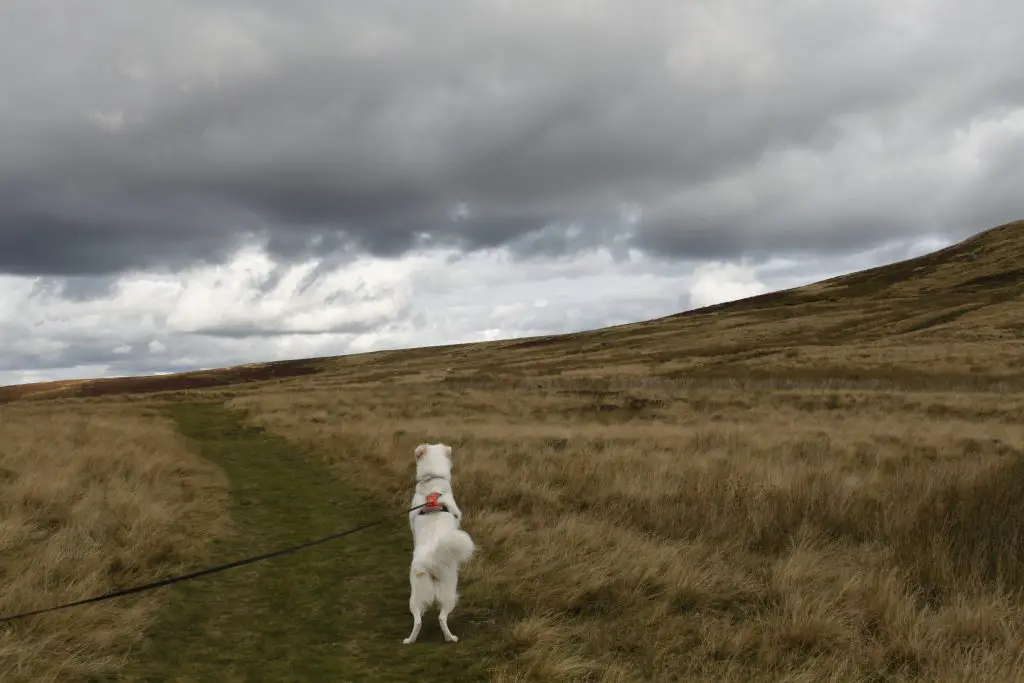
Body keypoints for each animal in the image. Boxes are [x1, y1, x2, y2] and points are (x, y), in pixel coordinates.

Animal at [401, 444, 477, 647]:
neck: (433, 485)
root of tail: (431, 561)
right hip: (450, 593)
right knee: (442, 617)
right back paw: (451, 638)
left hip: (416, 596)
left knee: (418, 621)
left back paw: (410, 640)